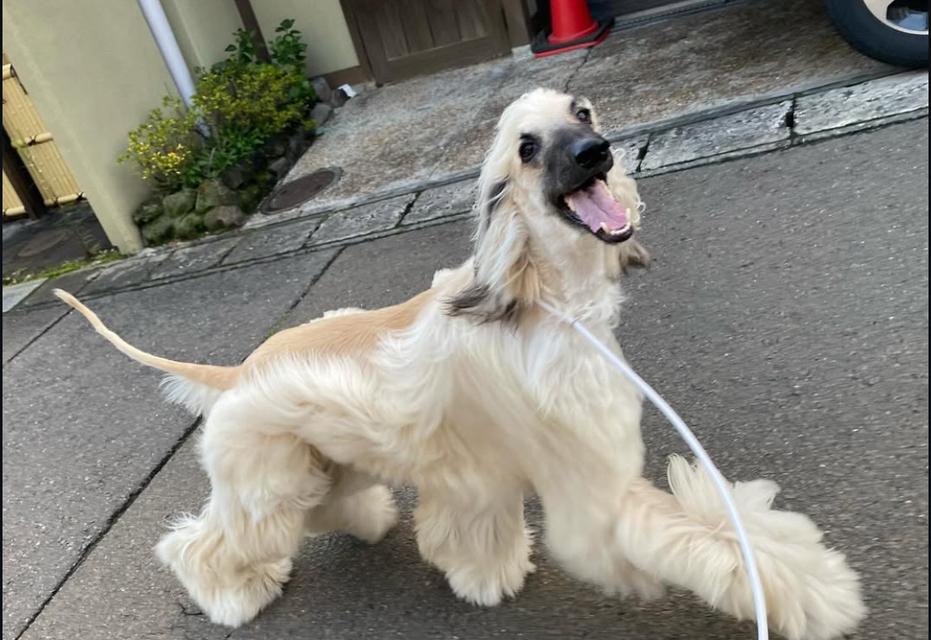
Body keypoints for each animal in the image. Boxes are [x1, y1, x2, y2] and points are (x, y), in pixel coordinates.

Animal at [54, 87, 864, 636]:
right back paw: (231, 597)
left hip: (323, 459)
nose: (595, 154)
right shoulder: (587, 489)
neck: (546, 301)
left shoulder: (485, 474)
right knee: (200, 543)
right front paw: (813, 591)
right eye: (527, 147)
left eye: (584, 113)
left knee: (329, 503)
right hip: (267, 480)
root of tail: (236, 371)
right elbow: (700, 535)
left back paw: (366, 519)